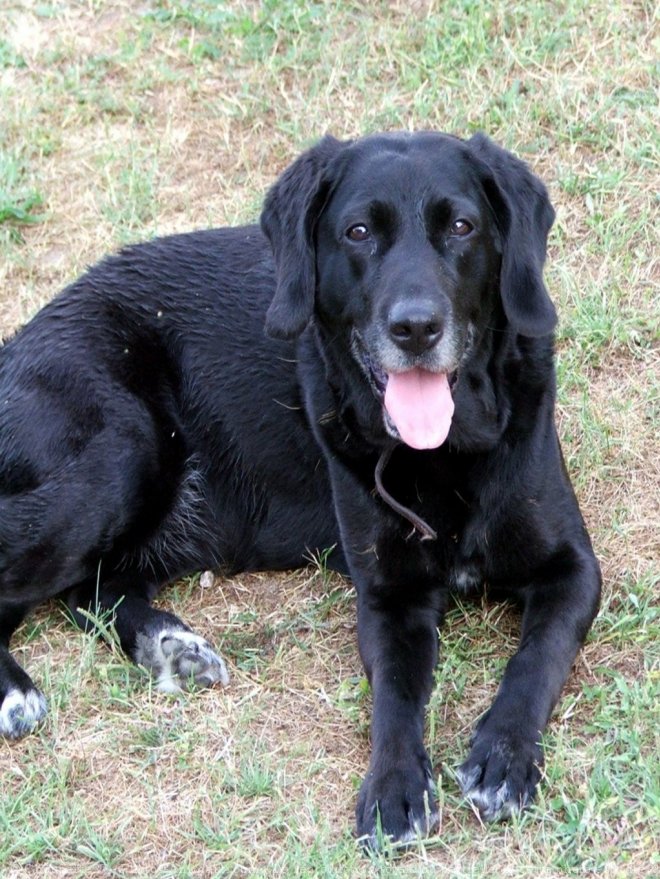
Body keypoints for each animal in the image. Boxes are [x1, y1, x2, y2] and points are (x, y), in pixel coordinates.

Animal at [0, 131, 600, 844]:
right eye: (359, 232)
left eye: (461, 226)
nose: (415, 328)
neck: (443, 456)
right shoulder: (388, 597)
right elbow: (396, 695)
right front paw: (395, 786)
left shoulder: (572, 569)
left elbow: (535, 660)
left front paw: (505, 756)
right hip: (121, 453)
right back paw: (18, 691)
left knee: (94, 589)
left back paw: (171, 648)